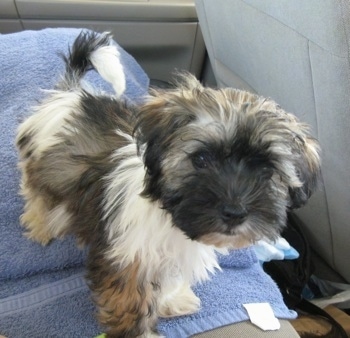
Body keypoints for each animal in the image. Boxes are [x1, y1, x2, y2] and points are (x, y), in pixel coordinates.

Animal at [17, 31, 322, 338]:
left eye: (267, 169)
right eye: (201, 159)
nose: (235, 213)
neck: (170, 214)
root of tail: (70, 95)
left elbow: (167, 278)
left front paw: (171, 300)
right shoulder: (127, 258)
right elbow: (132, 303)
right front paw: (140, 332)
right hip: (39, 168)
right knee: (37, 194)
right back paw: (41, 225)